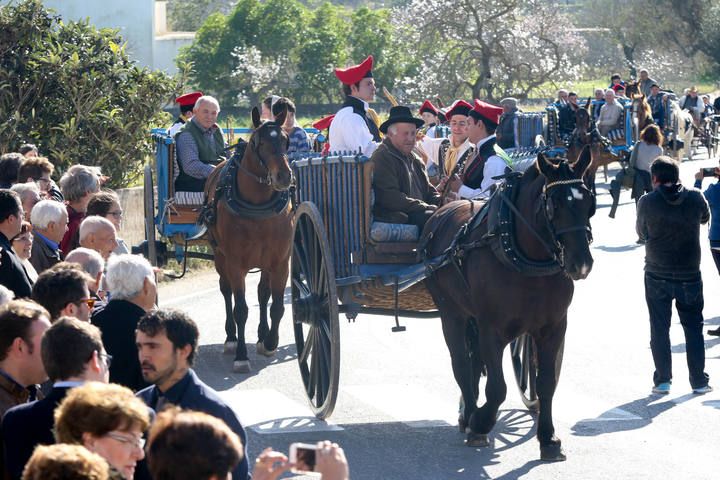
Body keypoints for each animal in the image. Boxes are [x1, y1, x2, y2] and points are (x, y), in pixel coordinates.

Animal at [202, 108, 292, 372]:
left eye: (285, 140)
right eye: (259, 143)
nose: (284, 176)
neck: (258, 206)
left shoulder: (280, 262)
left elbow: (277, 305)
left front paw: (270, 341)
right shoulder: (235, 264)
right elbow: (240, 309)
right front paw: (241, 355)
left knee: (263, 294)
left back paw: (262, 335)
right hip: (220, 257)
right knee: (226, 291)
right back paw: (231, 338)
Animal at [420, 146, 592, 462]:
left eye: (589, 202)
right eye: (554, 205)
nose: (581, 264)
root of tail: (440, 213)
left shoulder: (554, 328)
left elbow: (546, 382)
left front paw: (548, 438)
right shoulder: (491, 329)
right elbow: (497, 388)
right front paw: (481, 422)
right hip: (451, 313)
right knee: (461, 363)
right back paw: (470, 415)